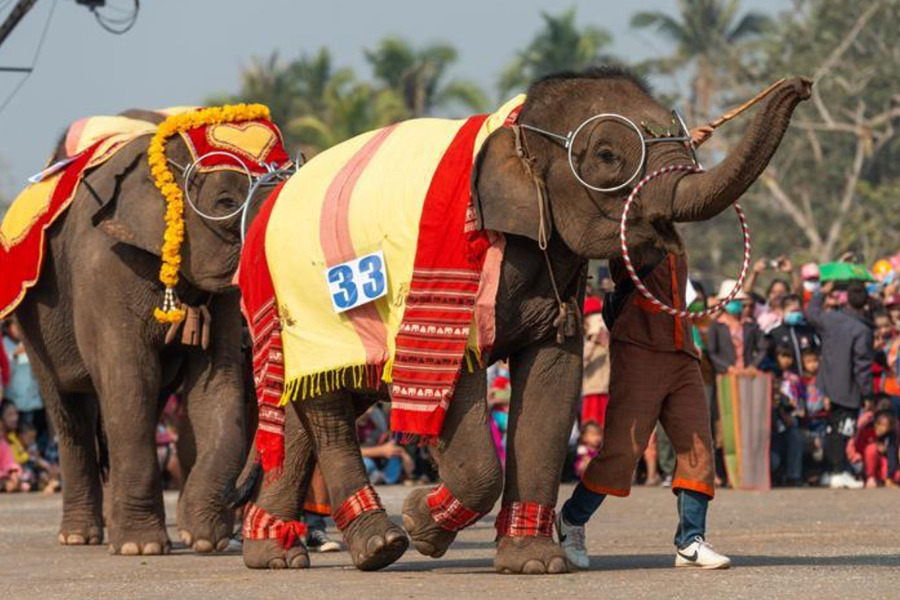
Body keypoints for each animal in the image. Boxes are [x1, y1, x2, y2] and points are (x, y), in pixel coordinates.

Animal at [8, 107, 290, 555]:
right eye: (226, 203)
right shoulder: (105, 266)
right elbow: (129, 380)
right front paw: (140, 548)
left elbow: (217, 386)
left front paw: (204, 539)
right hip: (32, 321)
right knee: (70, 408)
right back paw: (80, 536)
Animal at [236, 68, 812, 573]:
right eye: (608, 156)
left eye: (688, 143)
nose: (801, 84)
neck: (513, 127)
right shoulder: (452, 271)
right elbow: (457, 389)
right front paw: (422, 523)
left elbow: (553, 381)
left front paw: (534, 563)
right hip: (301, 307)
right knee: (329, 413)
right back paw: (378, 545)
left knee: (313, 405)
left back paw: (273, 551)